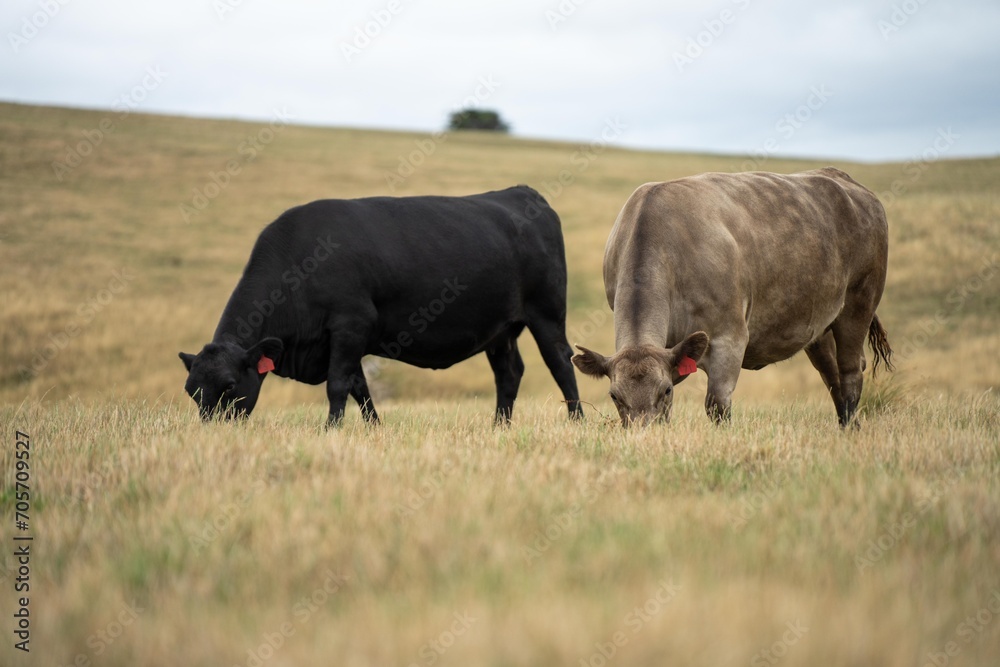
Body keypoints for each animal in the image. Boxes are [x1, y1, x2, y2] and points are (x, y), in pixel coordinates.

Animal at [181, 185, 584, 426]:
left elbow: (338, 385)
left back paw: (577, 421)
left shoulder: (349, 325)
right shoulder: (345, 339)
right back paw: (500, 426)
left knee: (561, 363)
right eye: (191, 390)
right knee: (508, 373)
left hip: (547, 313)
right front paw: (373, 428)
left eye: (230, 385)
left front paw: (330, 430)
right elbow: (359, 387)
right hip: (501, 330)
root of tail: (519, 192)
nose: (210, 430)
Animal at [576, 167, 896, 428]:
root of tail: (843, 179)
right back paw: (847, 427)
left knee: (850, 370)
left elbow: (717, 406)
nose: (643, 431)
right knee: (832, 375)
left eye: (664, 389)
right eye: (614, 396)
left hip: (859, 302)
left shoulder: (729, 337)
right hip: (819, 325)